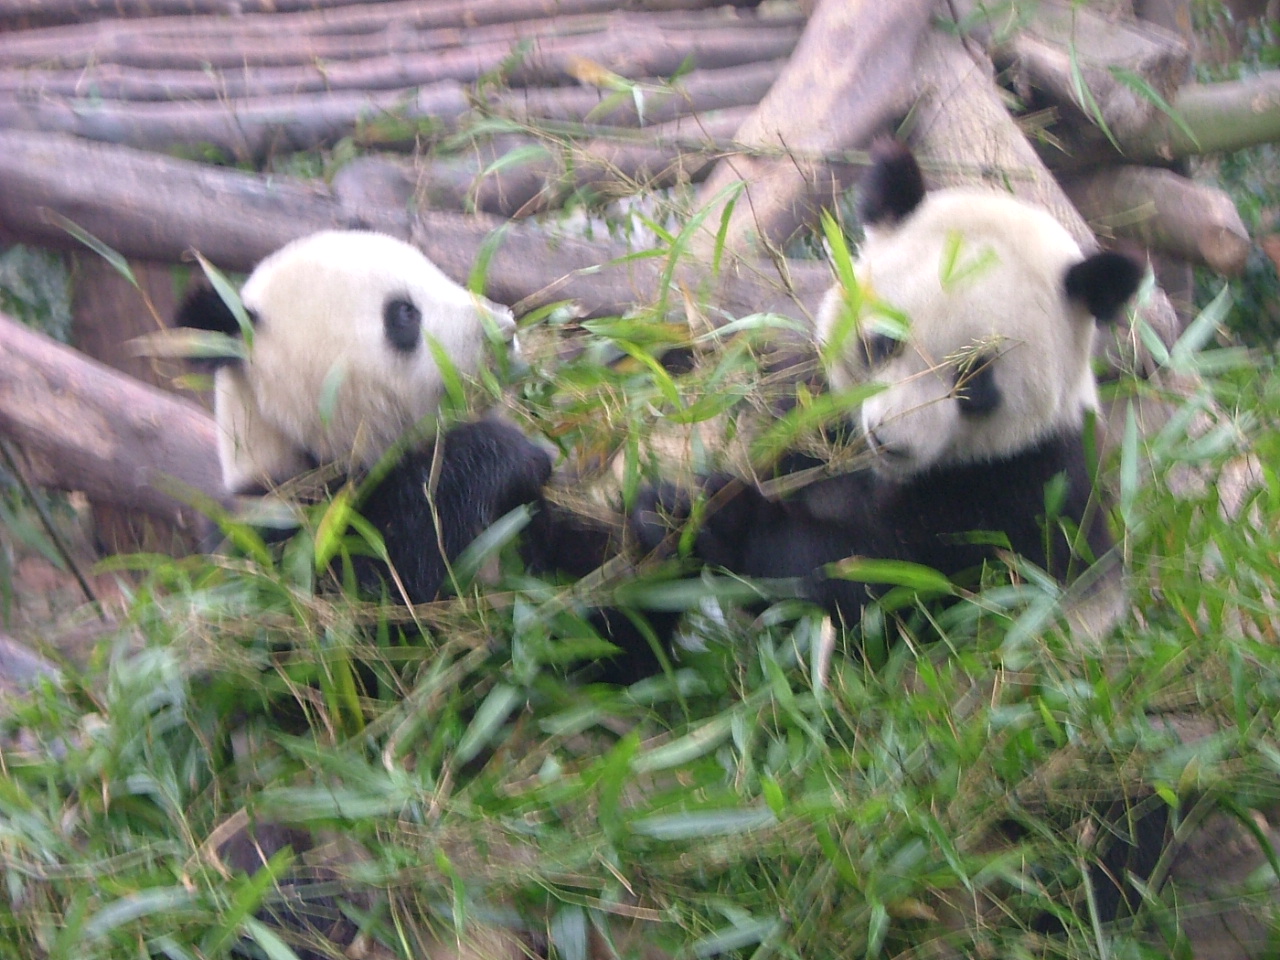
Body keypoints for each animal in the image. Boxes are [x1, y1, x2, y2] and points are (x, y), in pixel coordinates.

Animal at [634, 136, 1146, 640]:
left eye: (972, 380)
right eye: (885, 343)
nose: (889, 440)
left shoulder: (1027, 485)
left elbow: (879, 592)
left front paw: (717, 520)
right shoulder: (809, 413)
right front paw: (671, 510)